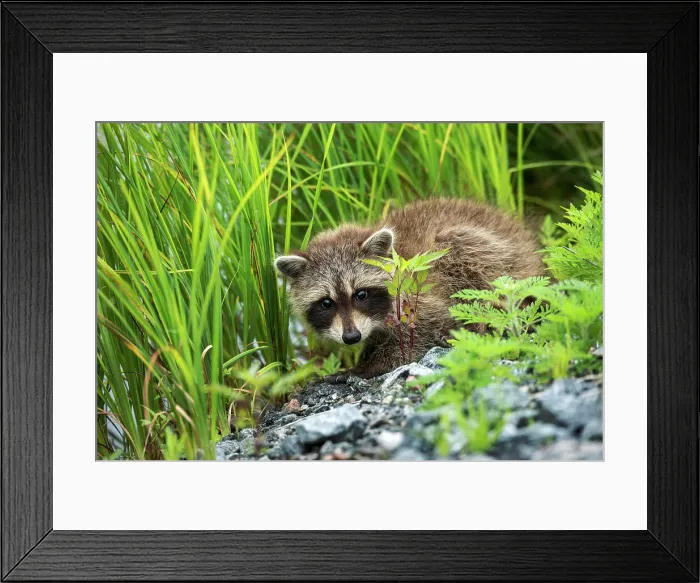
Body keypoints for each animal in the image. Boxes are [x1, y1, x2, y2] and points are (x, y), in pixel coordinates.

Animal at [275, 198, 544, 380]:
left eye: (360, 294)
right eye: (326, 303)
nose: (351, 337)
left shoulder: (418, 295)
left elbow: (423, 331)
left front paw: (367, 367)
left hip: (487, 253)